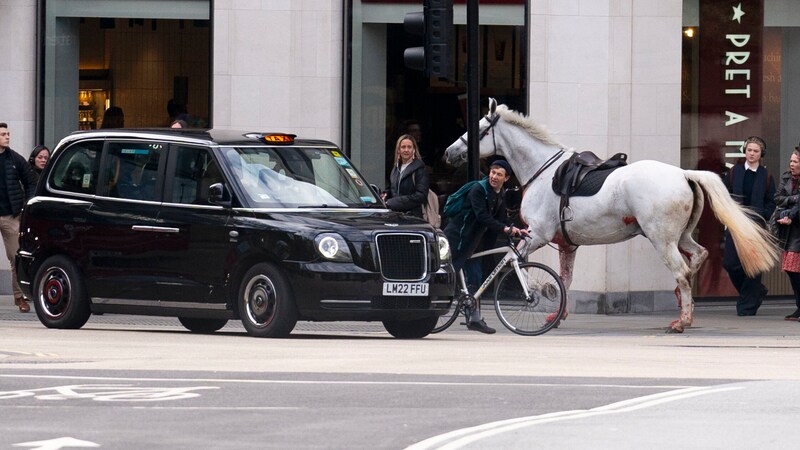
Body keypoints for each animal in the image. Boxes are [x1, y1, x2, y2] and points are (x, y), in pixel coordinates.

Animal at [444, 99, 776, 330]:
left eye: (479, 128)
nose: (449, 152)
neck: (543, 170)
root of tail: (683, 173)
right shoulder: (566, 244)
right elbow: (565, 277)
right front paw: (557, 313)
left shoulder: (535, 234)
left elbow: (517, 265)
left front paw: (541, 290)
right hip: (680, 237)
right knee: (699, 256)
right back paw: (684, 303)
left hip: (662, 240)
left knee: (682, 271)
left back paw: (681, 321)